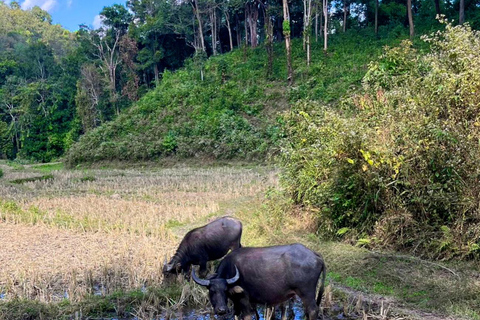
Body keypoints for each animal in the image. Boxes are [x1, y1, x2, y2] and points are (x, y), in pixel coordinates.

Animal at [191, 244, 326, 318]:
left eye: (225, 290)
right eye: (212, 291)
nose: (221, 310)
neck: (231, 269)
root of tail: (315, 255)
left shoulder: (244, 300)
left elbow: (247, 316)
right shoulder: (241, 302)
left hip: (307, 293)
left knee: (313, 310)